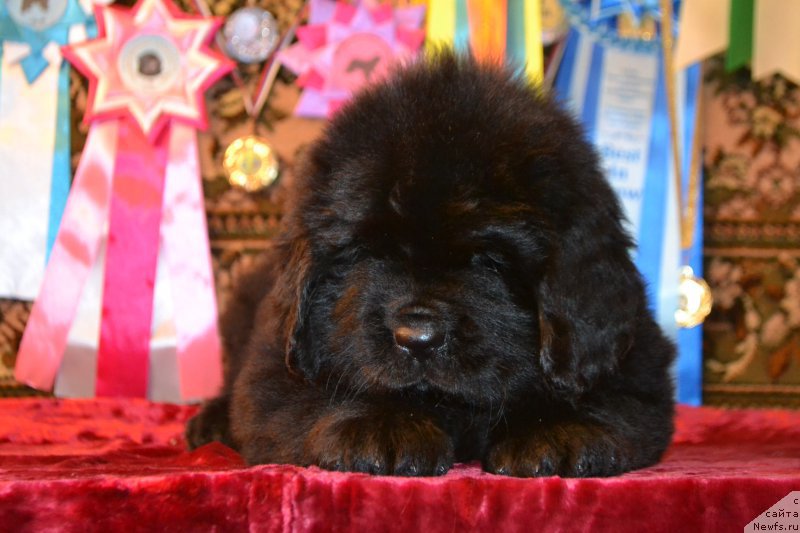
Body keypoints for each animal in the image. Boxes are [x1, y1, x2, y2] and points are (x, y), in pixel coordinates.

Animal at [188, 52, 676, 476]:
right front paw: (383, 427)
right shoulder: (275, 366)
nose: (417, 338)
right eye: (371, 250)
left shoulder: (634, 361)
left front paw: (557, 431)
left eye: (489, 261)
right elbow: (323, 389)